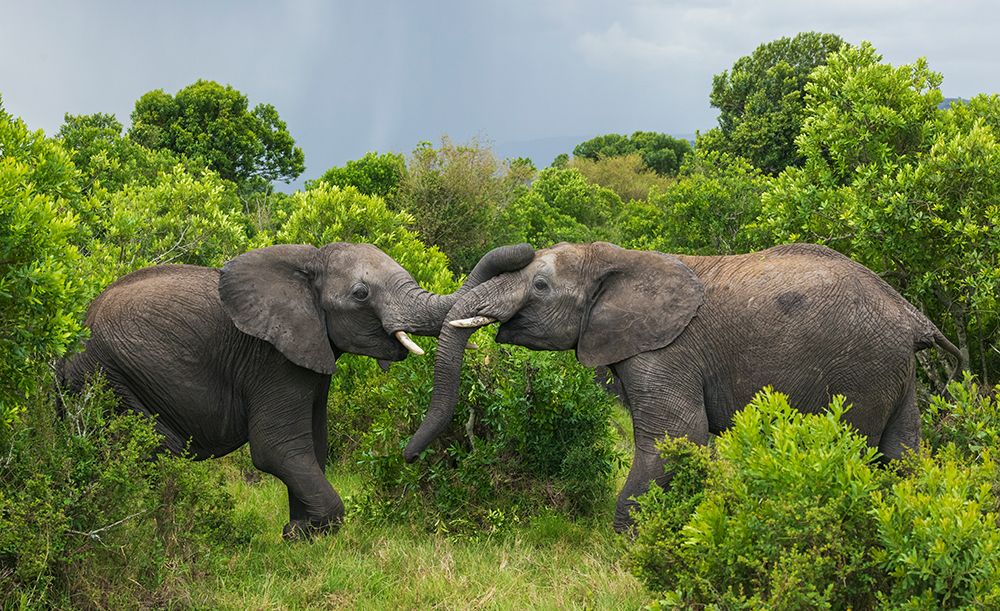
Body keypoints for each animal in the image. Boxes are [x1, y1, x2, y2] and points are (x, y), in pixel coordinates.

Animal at [58, 242, 532, 538]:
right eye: (361, 294)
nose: (408, 456)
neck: (307, 261)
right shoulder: (271, 358)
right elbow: (278, 449)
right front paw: (304, 534)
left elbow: (314, 447)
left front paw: (300, 534)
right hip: (109, 376)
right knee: (159, 455)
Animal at [403, 242, 962, 531]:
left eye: (540, 287)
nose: (406, 455)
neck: (619, 259)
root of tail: (914, 317)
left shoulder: (664, 351)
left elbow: (678, 437)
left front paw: (629, 548)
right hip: (894, 374)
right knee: (903, 453)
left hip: (860, 371)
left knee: (860, 449)